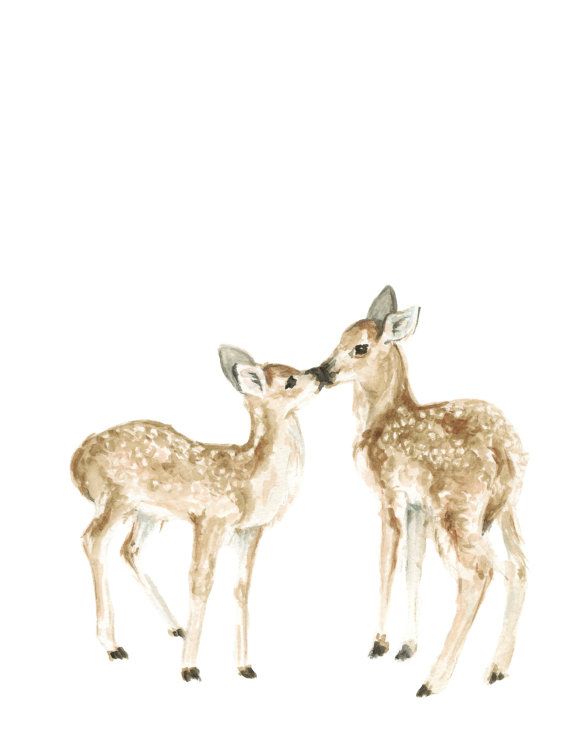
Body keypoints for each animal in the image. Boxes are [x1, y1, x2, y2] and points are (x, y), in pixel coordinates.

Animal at [71, 345, 321, 682]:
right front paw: (189, 668)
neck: (250, 482)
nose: (320, 374)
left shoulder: (250, 530)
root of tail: (79, 461)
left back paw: (177, 627)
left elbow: (241, 588)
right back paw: (113, 645)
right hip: (116, 497)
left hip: (148, 513)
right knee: (93, 540)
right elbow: (200, 581)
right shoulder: (209, 518)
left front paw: (245, 666)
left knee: (129, 550)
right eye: (290, 380)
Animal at [308, 286, 527, 696]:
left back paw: (434, 680)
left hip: (456, 509)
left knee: (479, 573)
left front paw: (379, 642)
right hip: (504, 509)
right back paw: (495, 669)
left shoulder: (389, 494)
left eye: (359, 347)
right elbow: (413, 566)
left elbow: (387, 563)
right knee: (517, 566)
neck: (379, 420)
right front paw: (407, 646)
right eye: (339, 338)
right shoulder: (417, 507)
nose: (321, 371)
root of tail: (505, 451)